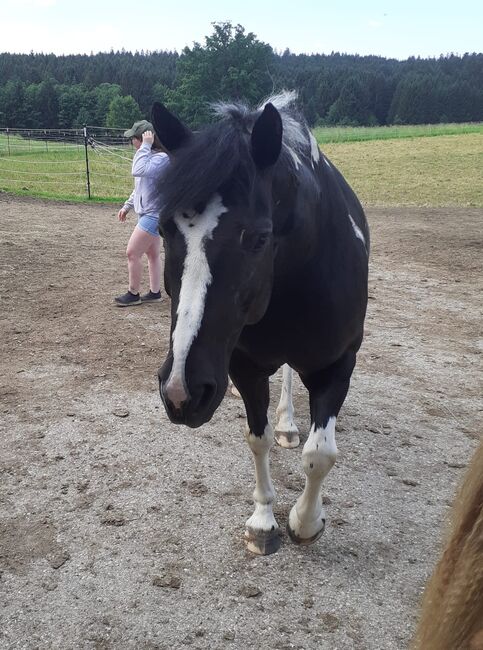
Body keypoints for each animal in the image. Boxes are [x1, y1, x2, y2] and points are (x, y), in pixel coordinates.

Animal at [152, 93, 370, 556]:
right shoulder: (244, 366)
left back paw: (289, 423)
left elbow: (320, 455)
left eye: (259, 237)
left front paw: (306, 522)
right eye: (163, 229)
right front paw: (263, 522)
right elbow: (258, 439)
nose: (181, 391)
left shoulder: (338, 364)